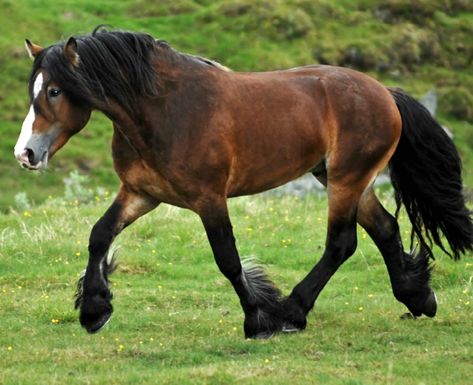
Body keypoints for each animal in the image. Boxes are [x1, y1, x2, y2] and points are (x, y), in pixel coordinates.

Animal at [15, 28, 472, 338]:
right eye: (34, 89)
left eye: (54, 91)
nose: (26, 154)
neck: (164, 110)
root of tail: (385, 93)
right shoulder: (141, 194)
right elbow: (99, 235)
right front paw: (94, 310)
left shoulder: (209, 198)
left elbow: (228, 259)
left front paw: (258, 318)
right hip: (341, 178)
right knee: (385, 228)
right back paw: (417, 297)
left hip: (346, 179)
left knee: (341, 244)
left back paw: (292, 312)